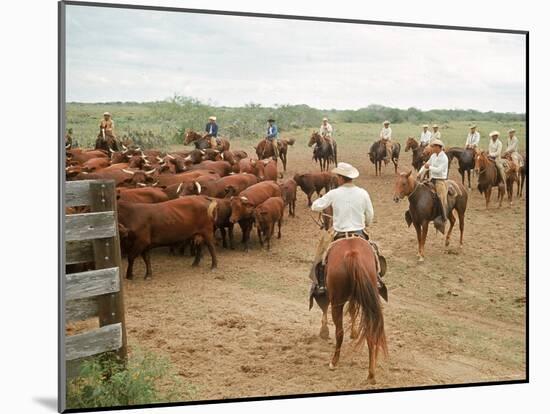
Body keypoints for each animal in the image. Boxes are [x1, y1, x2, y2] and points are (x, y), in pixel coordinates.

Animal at [314, 238, 388, 384]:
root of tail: (353, 255)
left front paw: (324, 331)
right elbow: (353, 311)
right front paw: (354, 333)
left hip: (337, 303)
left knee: (339, 332)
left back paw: (334, 362)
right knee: (370, 333)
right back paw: (371, 374)